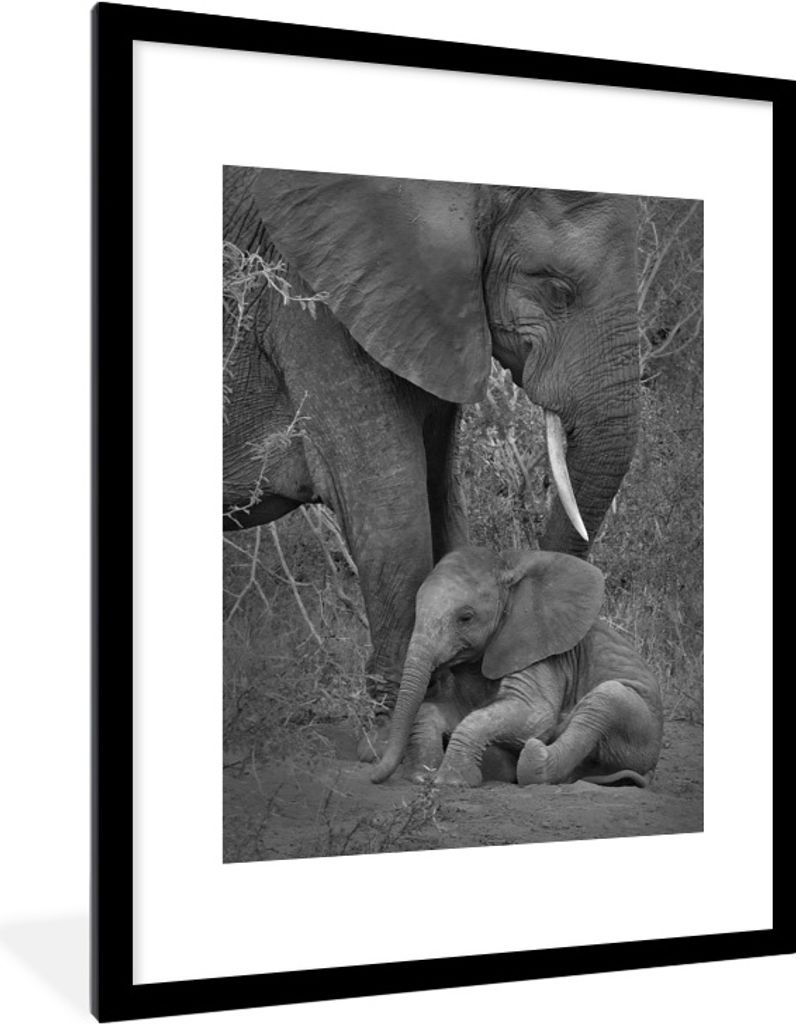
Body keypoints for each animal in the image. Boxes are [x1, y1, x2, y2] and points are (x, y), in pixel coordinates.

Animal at [371, 547, 663, 788]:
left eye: (466, 617)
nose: (374, 777)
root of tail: (651, 769)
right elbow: (445, 710)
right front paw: (423, 776)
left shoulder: (540, 653)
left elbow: (532, 715)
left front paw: (452, 782)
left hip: (642, 730)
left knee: (605, 700)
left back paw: (535, 758)